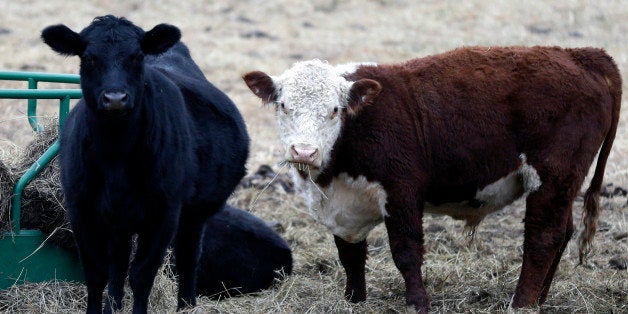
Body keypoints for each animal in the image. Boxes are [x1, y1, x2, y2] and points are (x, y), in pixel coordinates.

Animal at [39, 15, 248, 312]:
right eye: (88, 58)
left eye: (137, 56)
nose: (115, 98)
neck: (115, 155)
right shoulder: (82, 211)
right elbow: (97, 273)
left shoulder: (163, 215)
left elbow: (141, 275)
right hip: (120, 224)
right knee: (118, 266)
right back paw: (113, 307)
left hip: (195, 214)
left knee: (187, 258)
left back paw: (186, 305)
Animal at [243, 45, 620, 312]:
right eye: (283, 105)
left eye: (335, 110)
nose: (304, 151)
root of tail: (577, 54)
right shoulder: (344, 207)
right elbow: (350, 254)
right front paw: (353, 300)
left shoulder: (402, 191)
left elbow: (406, 252)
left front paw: (417, 303)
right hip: (562, 184)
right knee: (563, 232)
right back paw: (540, 299)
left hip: (552, 176)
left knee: (542, 239)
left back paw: (522, 304)